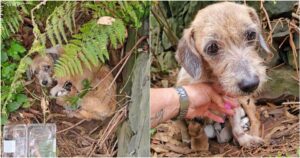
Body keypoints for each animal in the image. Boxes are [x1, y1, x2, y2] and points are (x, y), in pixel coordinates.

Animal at [176, 2, 272, 149]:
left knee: (255, 116)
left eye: (251, 34)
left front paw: (245, 140)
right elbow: (183, 124)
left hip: (244, 100)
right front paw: (187, 138)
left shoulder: (233, 103)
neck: (211, 79)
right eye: (212, 47)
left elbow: (237, 127)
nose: (251, 84)